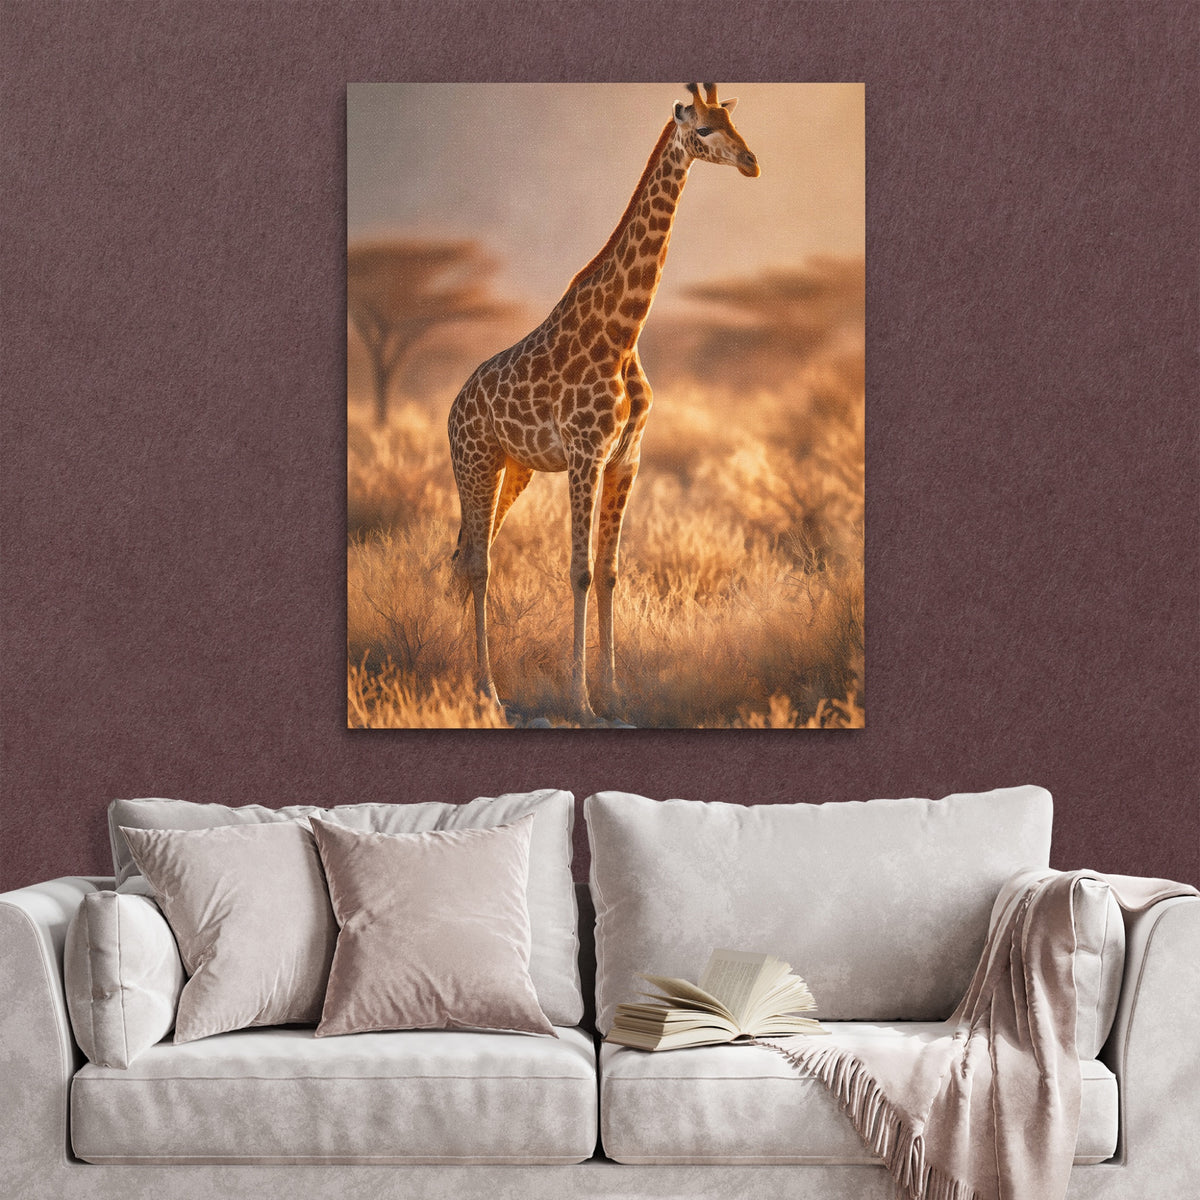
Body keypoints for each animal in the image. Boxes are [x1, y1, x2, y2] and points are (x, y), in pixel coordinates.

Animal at [448, 84, 760, 721]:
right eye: (705, 129)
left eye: (731, 118)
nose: (751, 162)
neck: (624, 331)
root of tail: (450, 413)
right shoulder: (586, 454)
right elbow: (580, 571)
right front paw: (582, 700)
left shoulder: (626, 459)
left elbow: (613, 572)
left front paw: (614, 693)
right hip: (475, 464)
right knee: (476, 562)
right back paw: (486, 689)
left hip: (512, 469)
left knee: (474, 551)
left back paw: (480, 680)